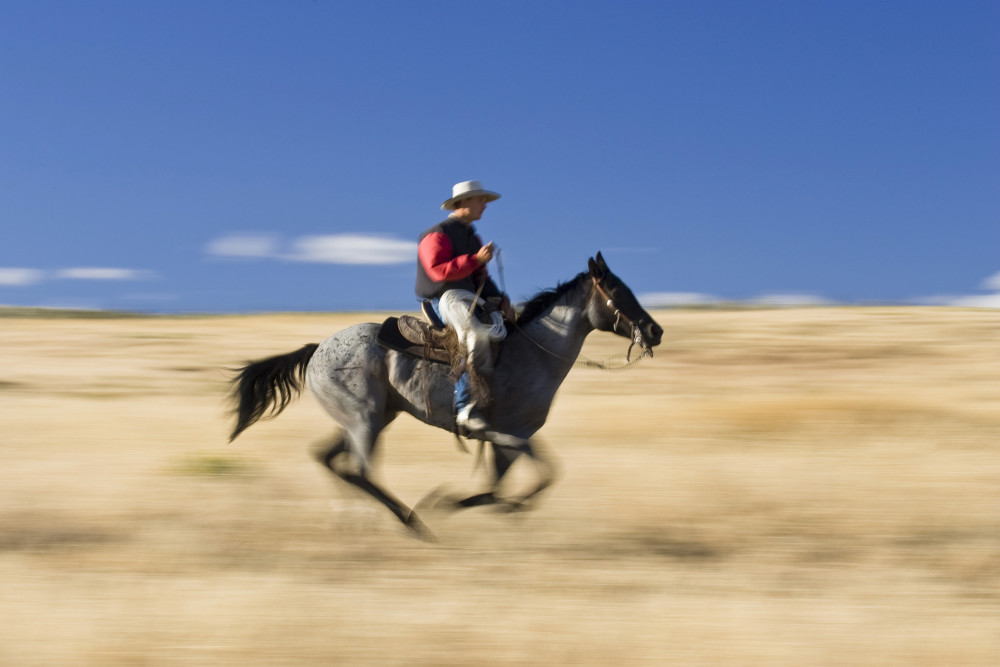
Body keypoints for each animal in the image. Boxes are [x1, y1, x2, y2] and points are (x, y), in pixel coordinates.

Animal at [229, 253, 664, 540]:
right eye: (617, 291)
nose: (655, 330)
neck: (534, 352)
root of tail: (317, 348)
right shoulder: (510, 435)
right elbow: (539, 476)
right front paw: (455, 503)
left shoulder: (511, 439)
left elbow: (506, 485)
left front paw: (485, 504)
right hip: (365, 421)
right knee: (360, 471)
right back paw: (412, 522)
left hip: (369, 419)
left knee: (329, 459)